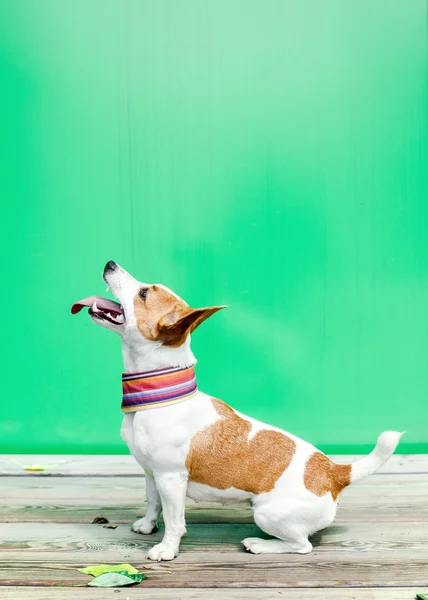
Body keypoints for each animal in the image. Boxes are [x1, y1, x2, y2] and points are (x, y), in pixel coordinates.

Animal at [72, 260, 402, 560]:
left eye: (143, 293)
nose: (110, 263)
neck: (158, 393)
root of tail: (334, 473)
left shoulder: (170, 478)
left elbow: (175, 521)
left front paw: (166, 549)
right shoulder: (152, 474)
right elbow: (153, 503)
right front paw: (147, 525)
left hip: (267, 514)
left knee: (301, 546)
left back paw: (260, 544)